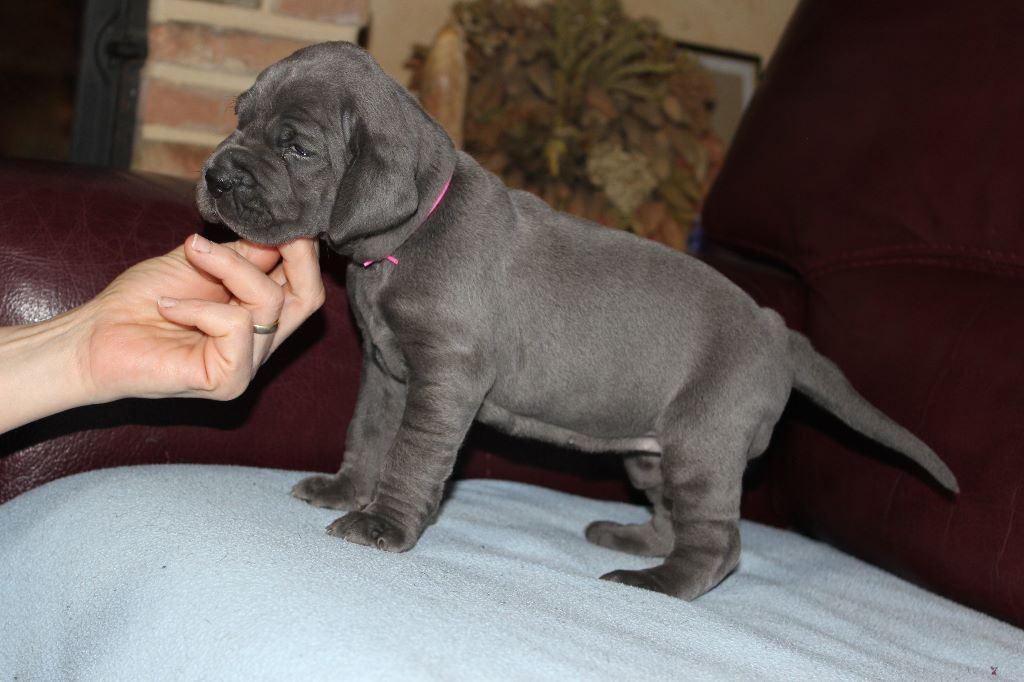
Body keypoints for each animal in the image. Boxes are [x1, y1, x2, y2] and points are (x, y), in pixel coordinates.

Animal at [195, 42, 954, 598]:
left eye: (296, 147)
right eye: (239, 115)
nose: (216, 176)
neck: (405, 240)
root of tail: (779, 328)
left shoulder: (445, 378)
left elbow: (412, 455)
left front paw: (381, 524)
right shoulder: (386, 373)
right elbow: (369, 435)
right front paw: (343, 491)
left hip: (705, 440)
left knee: (720, 542)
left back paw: (654, 583)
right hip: (652, 450)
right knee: (672, 515)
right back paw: (631, 540)